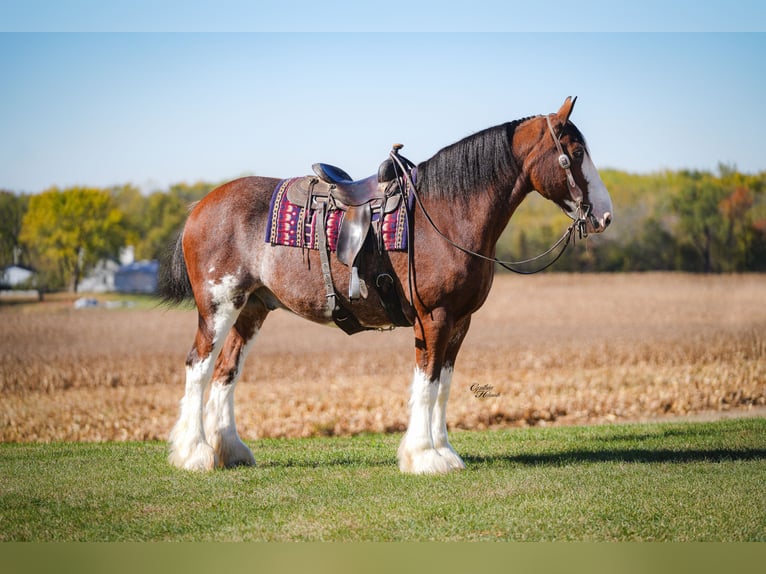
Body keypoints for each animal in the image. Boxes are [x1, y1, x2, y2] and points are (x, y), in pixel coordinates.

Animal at [158, 97, 613, 474]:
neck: (447, 213)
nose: (604, 216)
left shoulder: (459, 322)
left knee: (226, 372)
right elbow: (427, 384)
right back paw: (195, 453)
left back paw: (230, 451)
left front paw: (444, 451)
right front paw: (426, 456)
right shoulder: (434, 318)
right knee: (199, 368)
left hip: (250, 309)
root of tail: (200, 206)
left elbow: (443, 386)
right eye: (575, 154)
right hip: (218, 307)